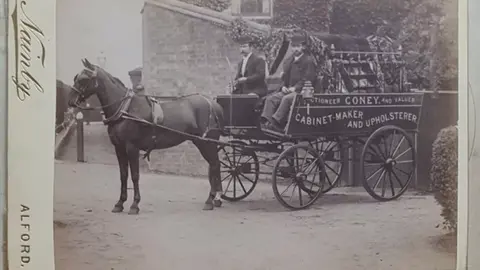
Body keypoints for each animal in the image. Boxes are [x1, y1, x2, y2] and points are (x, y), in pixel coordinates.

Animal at [66, 59, 226, 215]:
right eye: (75, 77)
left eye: (83, 79)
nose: (70, 101)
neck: (125, 108)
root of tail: (213, 104)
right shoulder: (119, 148)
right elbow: (123, 175)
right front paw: (120, 203)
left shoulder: (132, 148)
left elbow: (135, 175)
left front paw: (134, 205)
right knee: (215, 166)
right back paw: (216, 199)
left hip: (206, 143)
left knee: (214, 165)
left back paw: (211, 200)